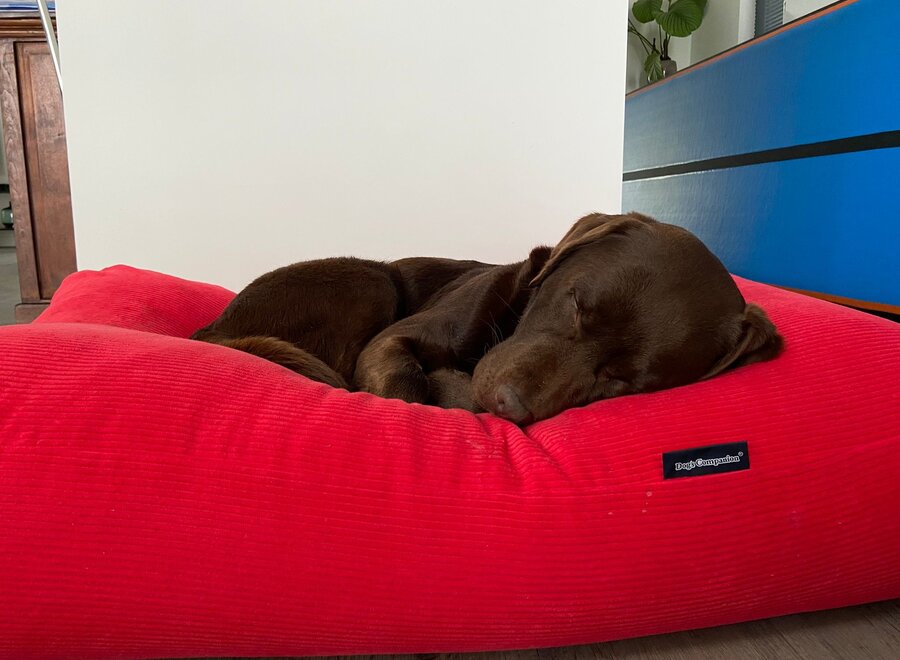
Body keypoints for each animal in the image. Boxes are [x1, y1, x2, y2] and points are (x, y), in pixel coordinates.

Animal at [192, 214, 780, 426]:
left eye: (620, 381)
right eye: (574, 304)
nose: (506, 405)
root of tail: (210, 329)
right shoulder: (391, 342)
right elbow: (407, 387)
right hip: (370, 279)